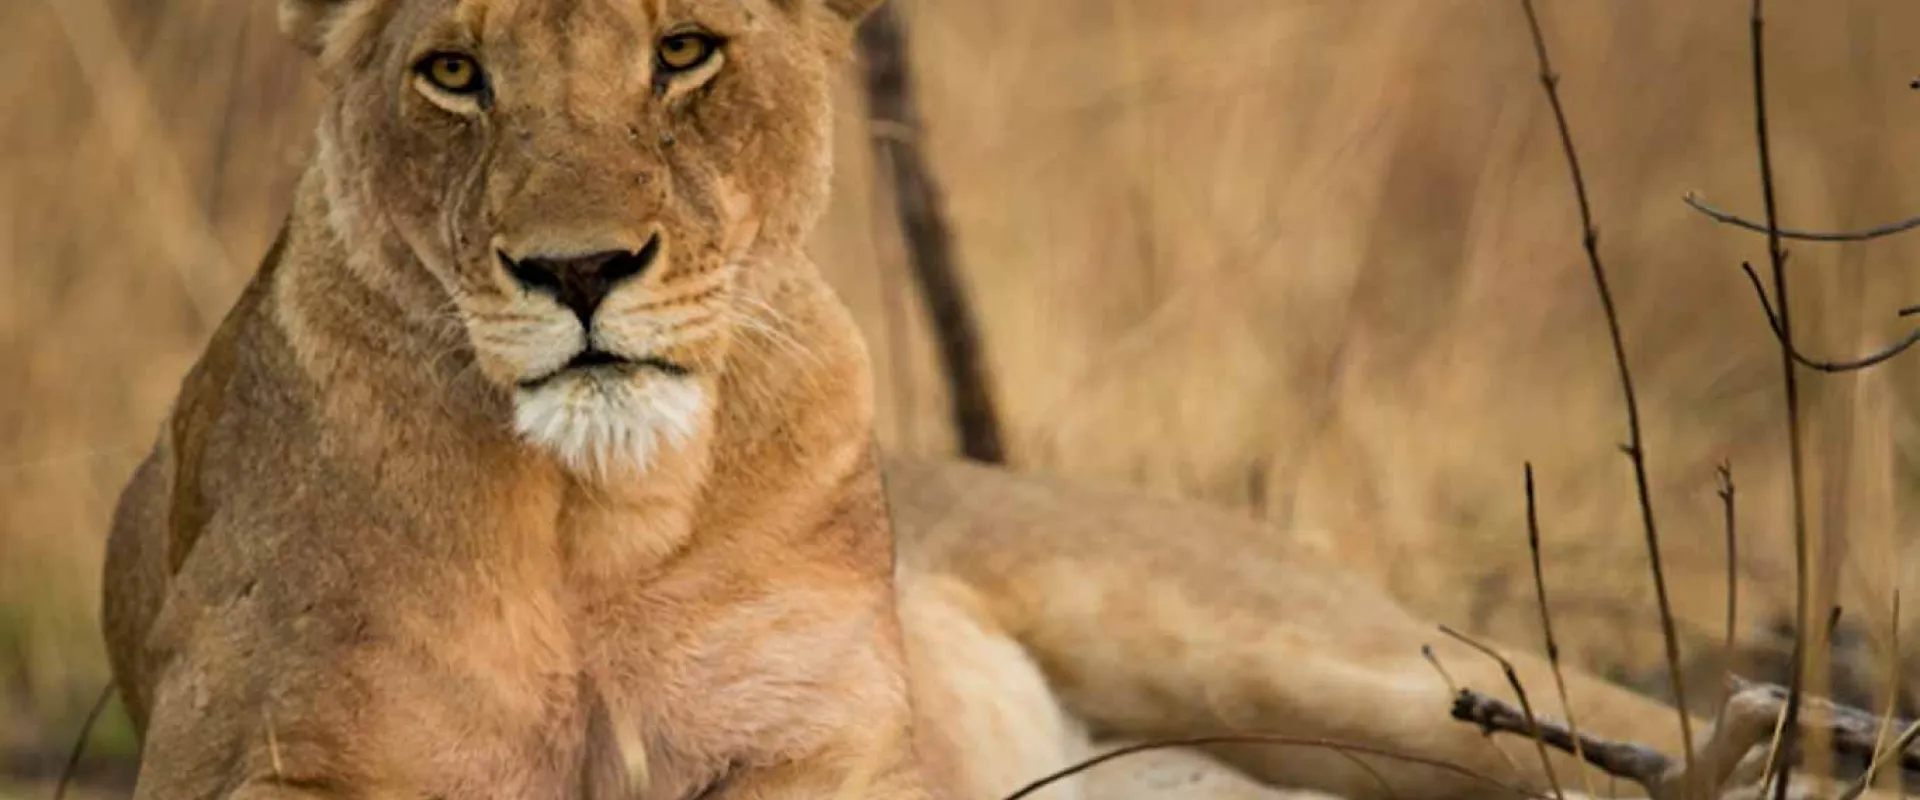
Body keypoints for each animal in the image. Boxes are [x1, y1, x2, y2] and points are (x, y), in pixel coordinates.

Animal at [96, 0, 1765, 798]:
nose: (578, 270)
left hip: (1296, 651)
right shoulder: (239, 760)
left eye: (683, 54)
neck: (593, 526)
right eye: (453, 74)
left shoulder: (829, 755)